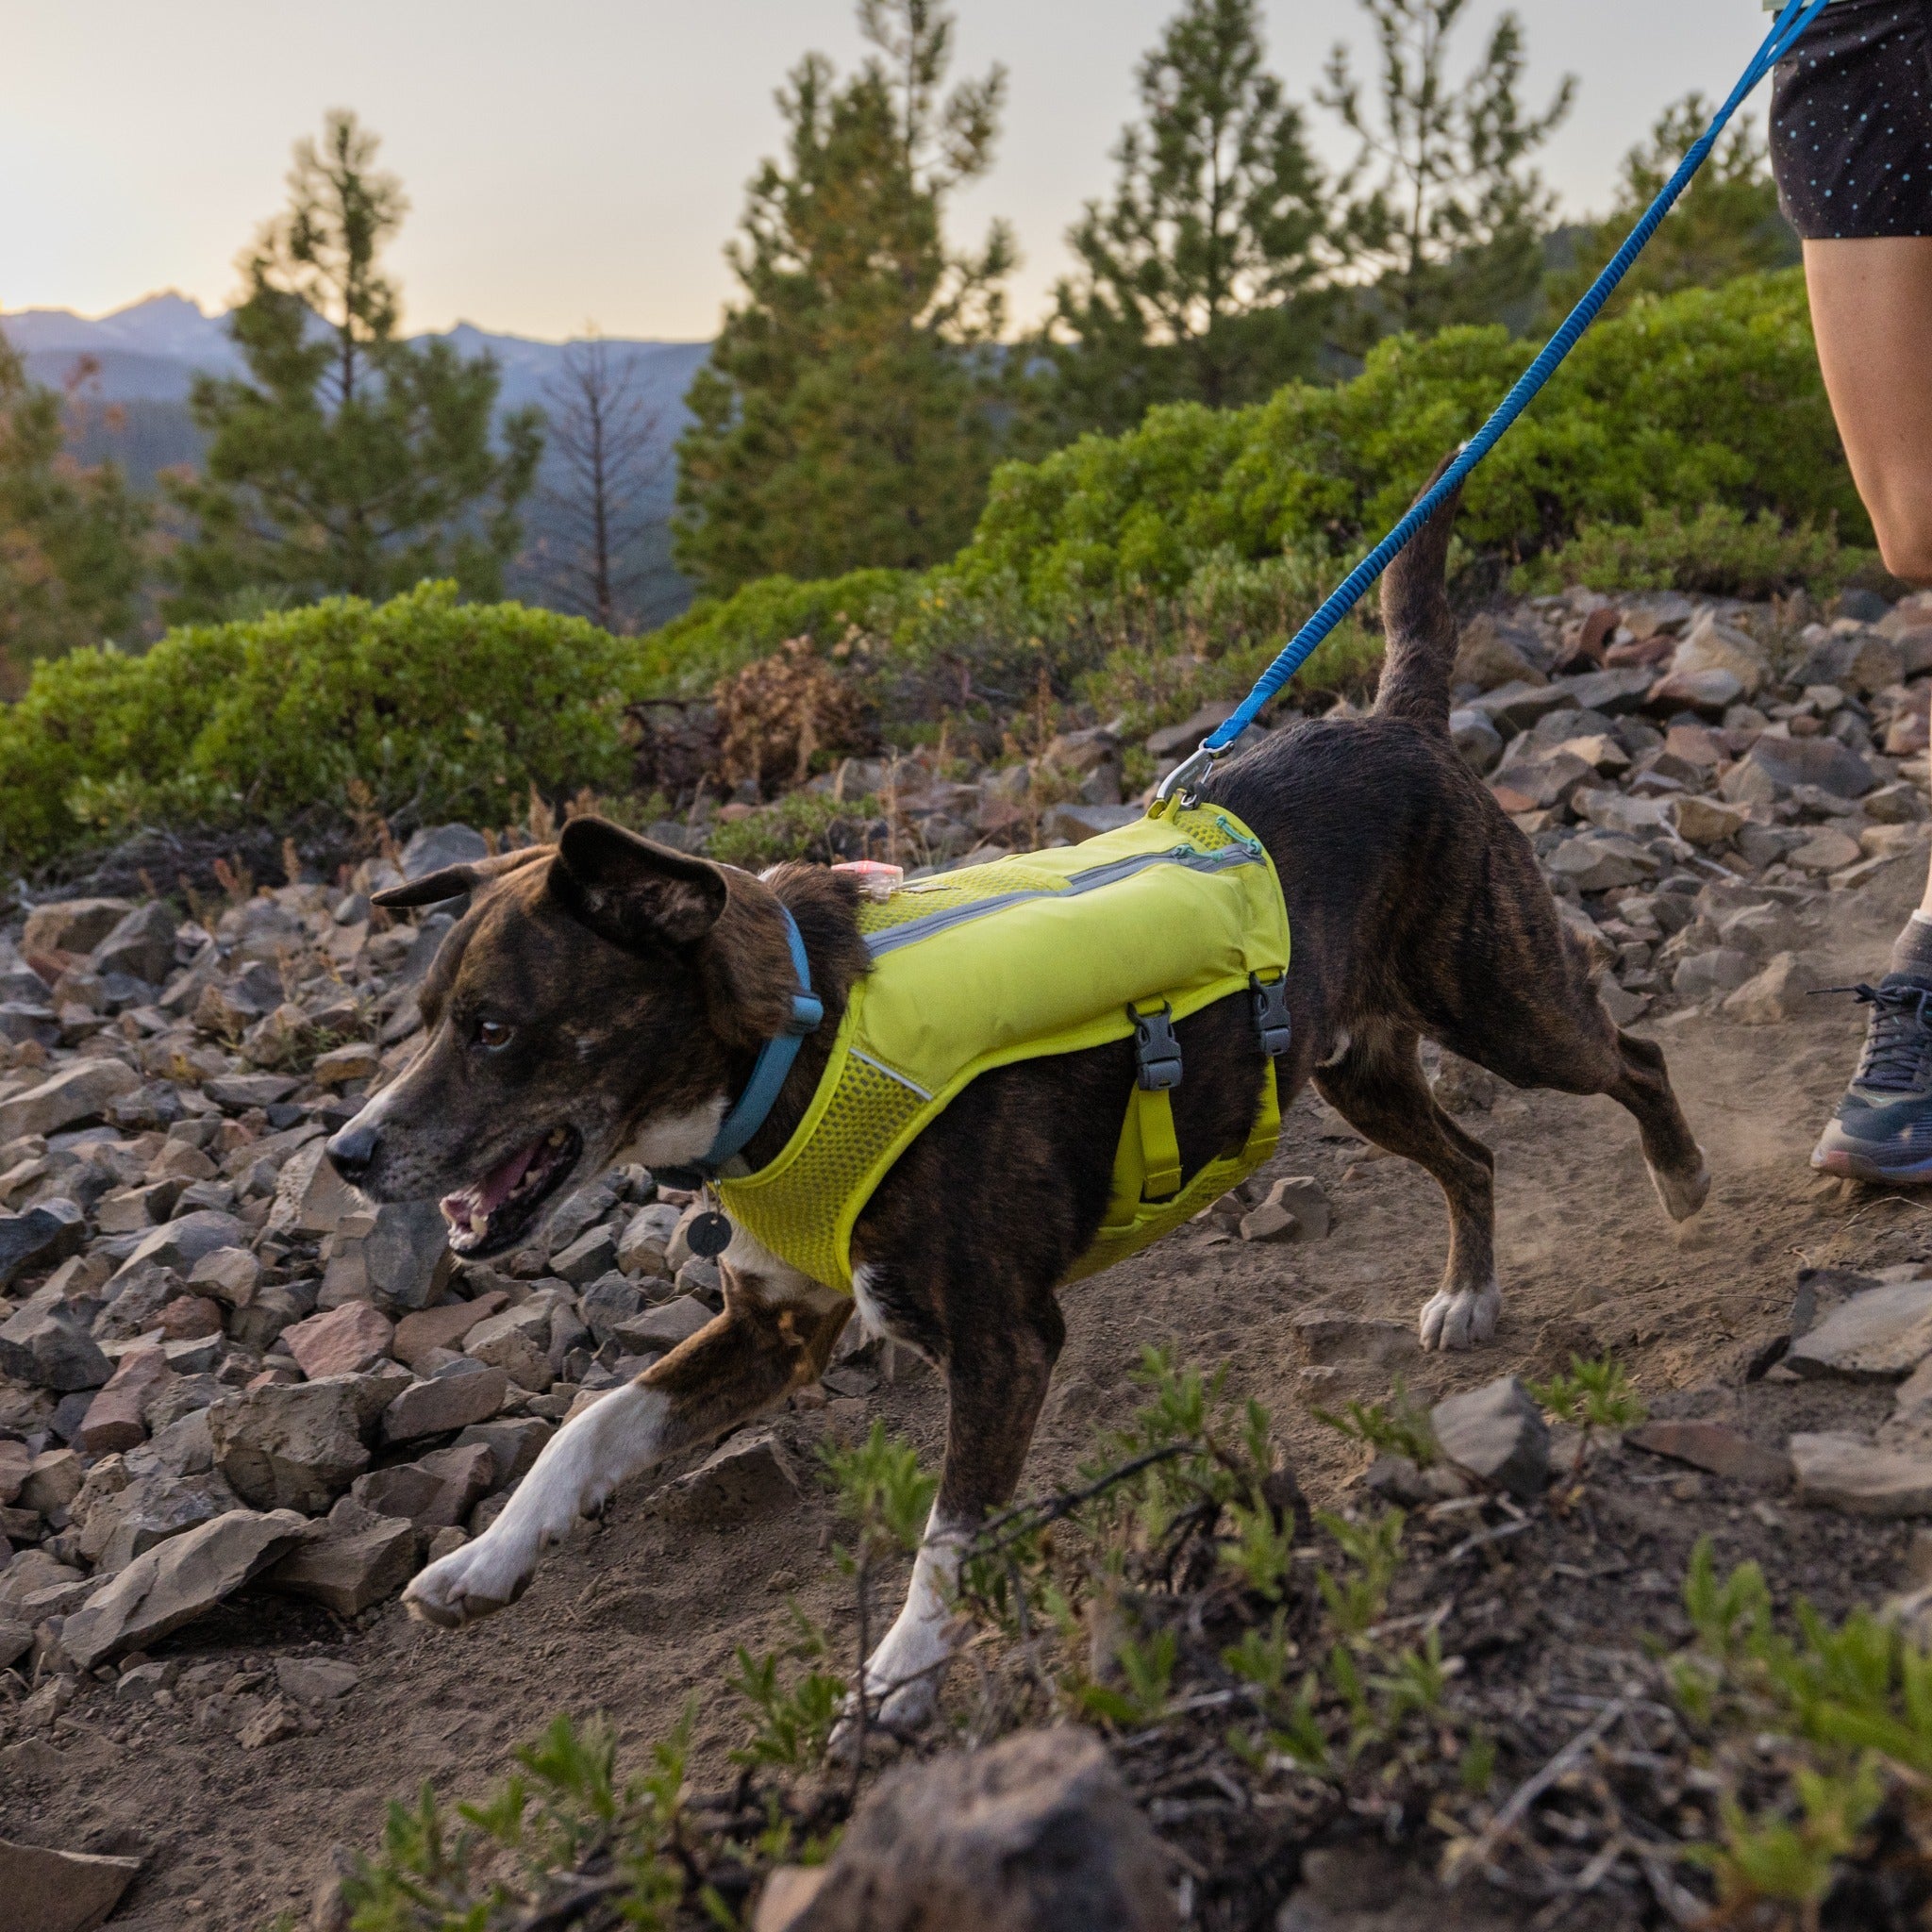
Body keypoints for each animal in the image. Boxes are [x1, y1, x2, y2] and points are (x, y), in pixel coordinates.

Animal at [328, 478, 1707, 1723]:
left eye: (492, 1028)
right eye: (424, 1015)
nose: (346, 1153)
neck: (803, 1047)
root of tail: (1398, 722)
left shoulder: (1004, 1343)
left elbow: (946, 1531)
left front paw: (901, 1669)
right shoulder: (775, 1331)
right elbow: (591, 1426)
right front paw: (481, 1559)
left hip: (1503, 1004)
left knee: (1632, 1057)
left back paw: (1684, 1179)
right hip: (1357, 1068)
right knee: (1471, 1154)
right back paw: (1470, 1292)